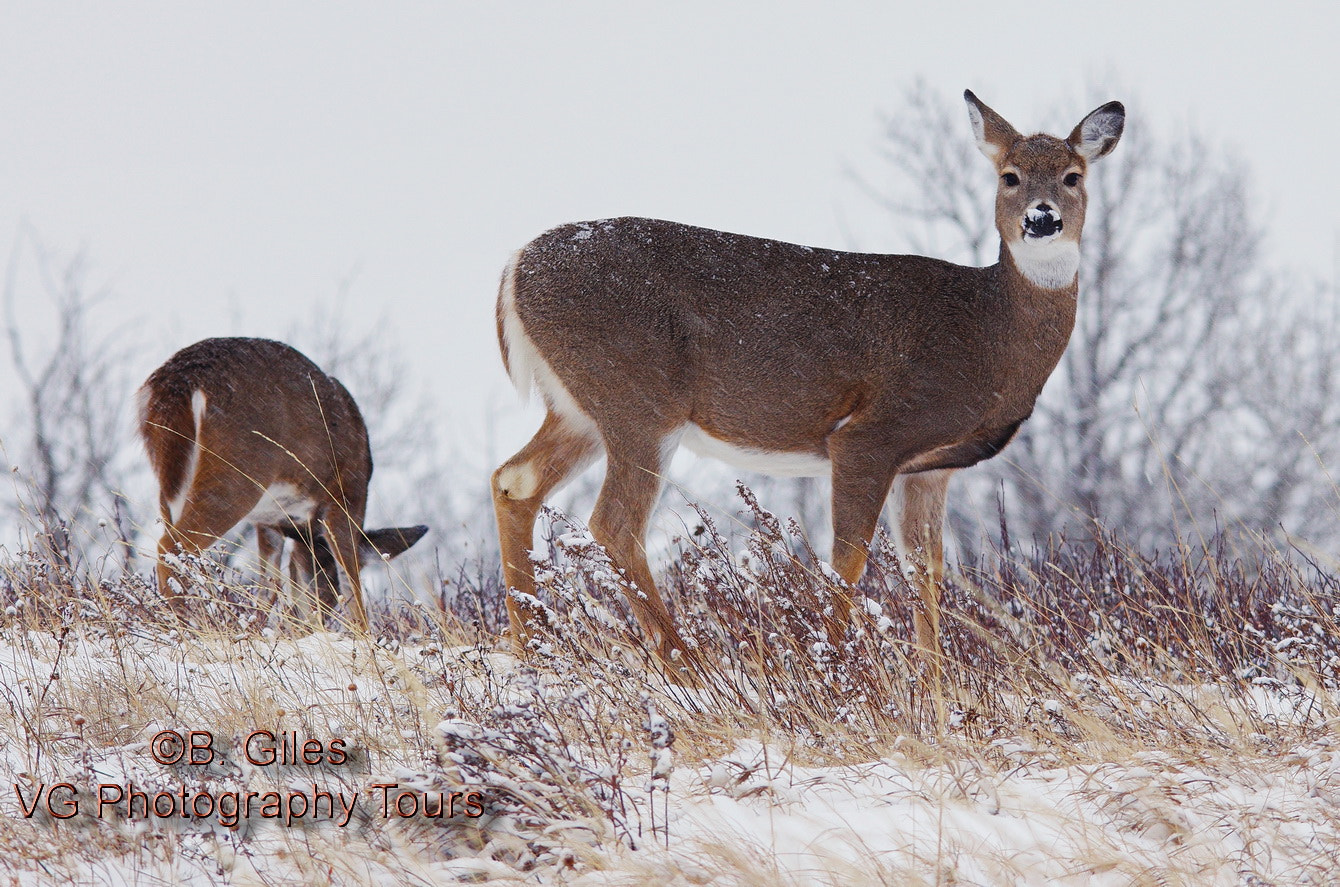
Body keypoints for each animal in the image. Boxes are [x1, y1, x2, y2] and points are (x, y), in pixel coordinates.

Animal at [138, 337, 426, 629]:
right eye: (329, 588)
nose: (318, 619)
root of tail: (180, 382)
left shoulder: (269, 522)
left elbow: (270, 586)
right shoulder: (346, 499)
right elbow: (352, 585)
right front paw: (365, 637)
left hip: (169, 479)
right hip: (237, 474)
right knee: (171, 549)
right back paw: (189, 624)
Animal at [493, 90, 1120, 675]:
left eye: (1073, 176)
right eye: (1008, 176)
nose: (1041, 219)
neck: (987, 332)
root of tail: (515, 267)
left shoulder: (929, 468)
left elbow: (927, 575)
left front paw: (937, 688)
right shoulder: (871, 435)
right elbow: (847, 561)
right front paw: (836, 666)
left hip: (580, 407)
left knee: (514, 480)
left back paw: (535, 645)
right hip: (638, 399)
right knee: (614, 523)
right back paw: (687, 664)